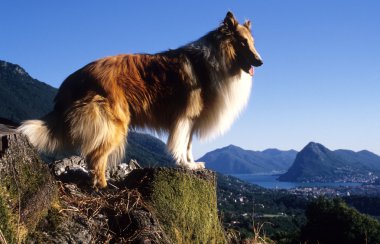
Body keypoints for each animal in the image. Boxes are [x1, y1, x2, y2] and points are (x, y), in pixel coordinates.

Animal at [17, 11, 262, 188]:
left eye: (252, 42)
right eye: (242, 42)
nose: (260, 62)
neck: (217, 59)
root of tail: (73, 78)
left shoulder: (192, 120)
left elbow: (189, 145)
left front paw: (193, 164)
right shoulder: (186, 118)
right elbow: (182, 144)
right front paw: (185, 164)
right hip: (114, 124)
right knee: (95, 156)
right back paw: (103, 186)